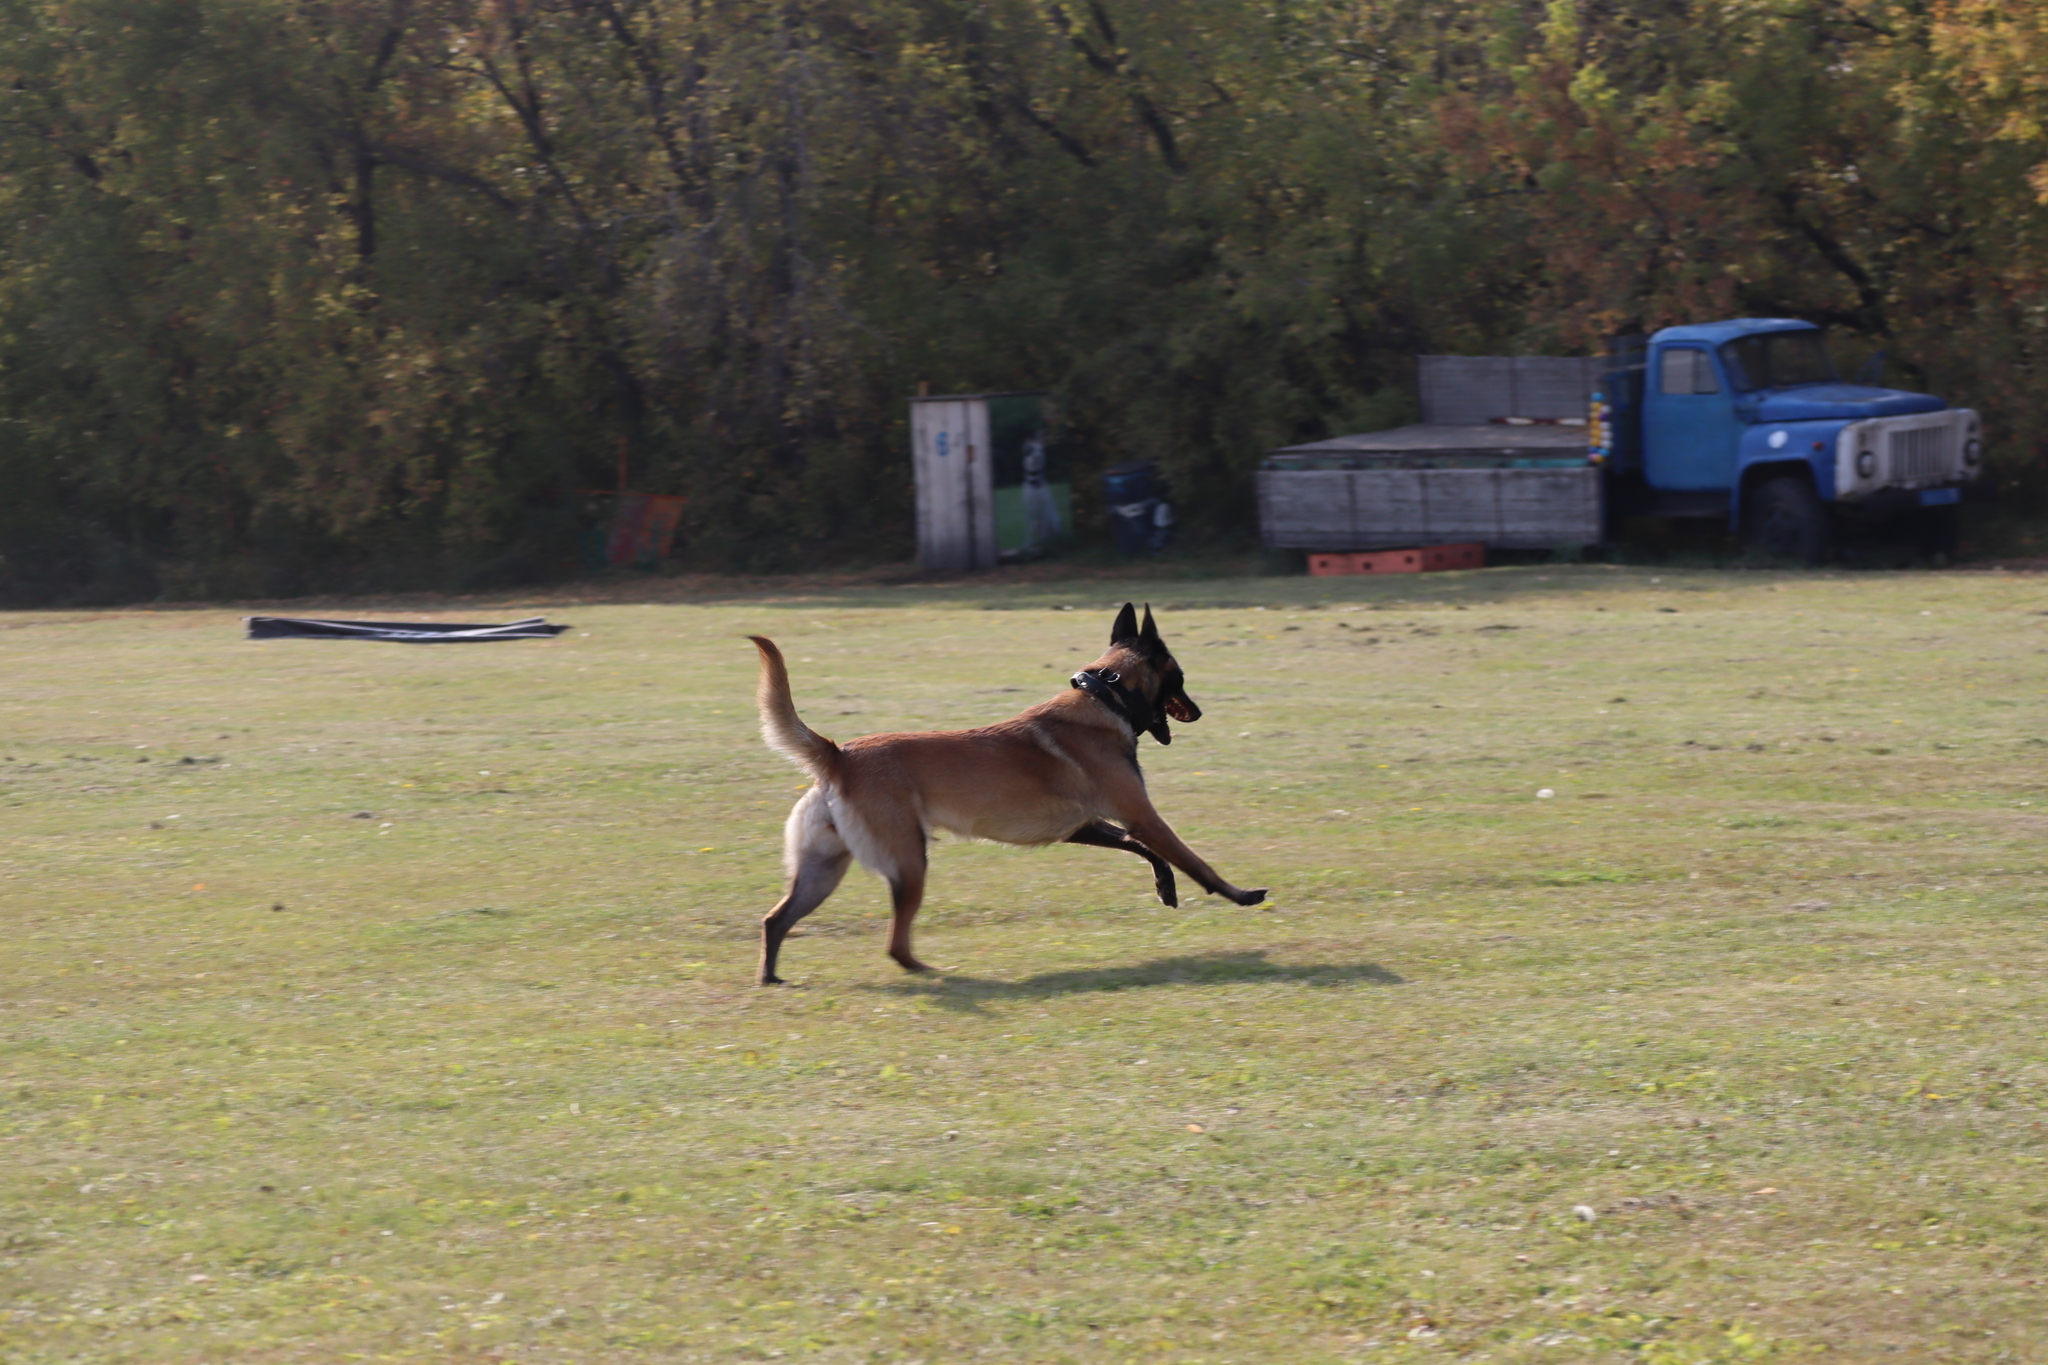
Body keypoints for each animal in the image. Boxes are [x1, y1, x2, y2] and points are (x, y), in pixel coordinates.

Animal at [749, 605, 1261, 982]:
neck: (1105, 697)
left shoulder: (1084, 825)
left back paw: (771, 978)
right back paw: (937, 972)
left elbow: (1145, 850)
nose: (1198, 711)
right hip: (909, 862)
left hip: (824, 868)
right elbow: (1191, 859)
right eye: (1180, 678)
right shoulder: (1142, 815)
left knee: (776, 919)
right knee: (895, 944)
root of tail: (840, 755)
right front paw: (1239, 895)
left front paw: (1165, 888)